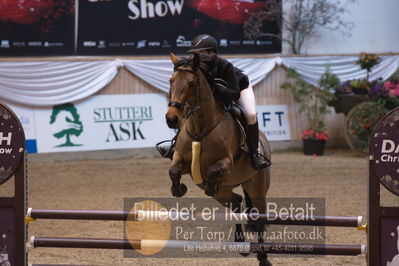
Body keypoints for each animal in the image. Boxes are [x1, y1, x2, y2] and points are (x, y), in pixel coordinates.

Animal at [165, 53, 272, 264]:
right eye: (171, 81)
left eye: (191, 83)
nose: (171, 119)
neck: (200, 126)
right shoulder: (181, 159)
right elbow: (174, 170)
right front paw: (179, 189)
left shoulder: (226, 163)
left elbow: (214, 169)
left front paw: (209, 182)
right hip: (224, 193)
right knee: (237, 202)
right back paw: (240, 243)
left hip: (256, 188)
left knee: (258, 218)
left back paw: (263, 257)